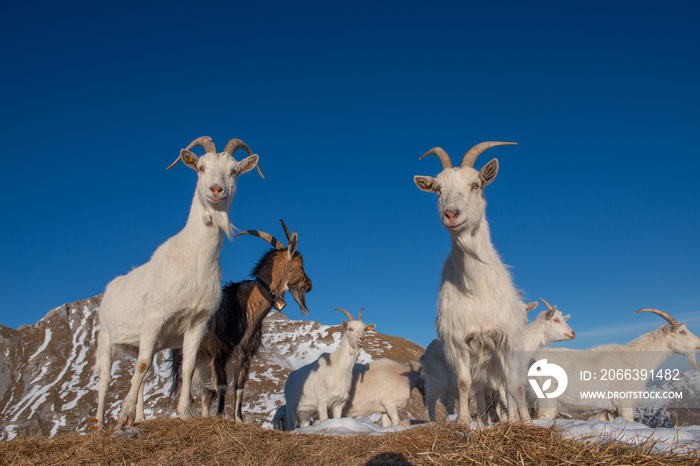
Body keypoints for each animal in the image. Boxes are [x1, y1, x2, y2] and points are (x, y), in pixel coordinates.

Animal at [91, 136, 258, 430]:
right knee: (105, 381)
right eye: (201, 167)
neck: (194, 259)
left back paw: (140, 417)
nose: (216, 190)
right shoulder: (154, 317)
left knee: (140, 374)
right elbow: (143, 366)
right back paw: (100, 425)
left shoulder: (197, 322)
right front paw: (122, 415)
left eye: (234, 171)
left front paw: (184, 413)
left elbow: (187, 368)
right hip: (106, 339)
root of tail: (110, 288)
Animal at [170, 220, 312, 420]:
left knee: (205, 392)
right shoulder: (220, 352)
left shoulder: (245, 356)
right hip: (185, 354)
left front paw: (238, 419)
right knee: (184, 382)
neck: (247, 307)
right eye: (300, 263)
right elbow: (222, 386)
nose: (309, 285)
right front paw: (220, 415)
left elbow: (239, 389)